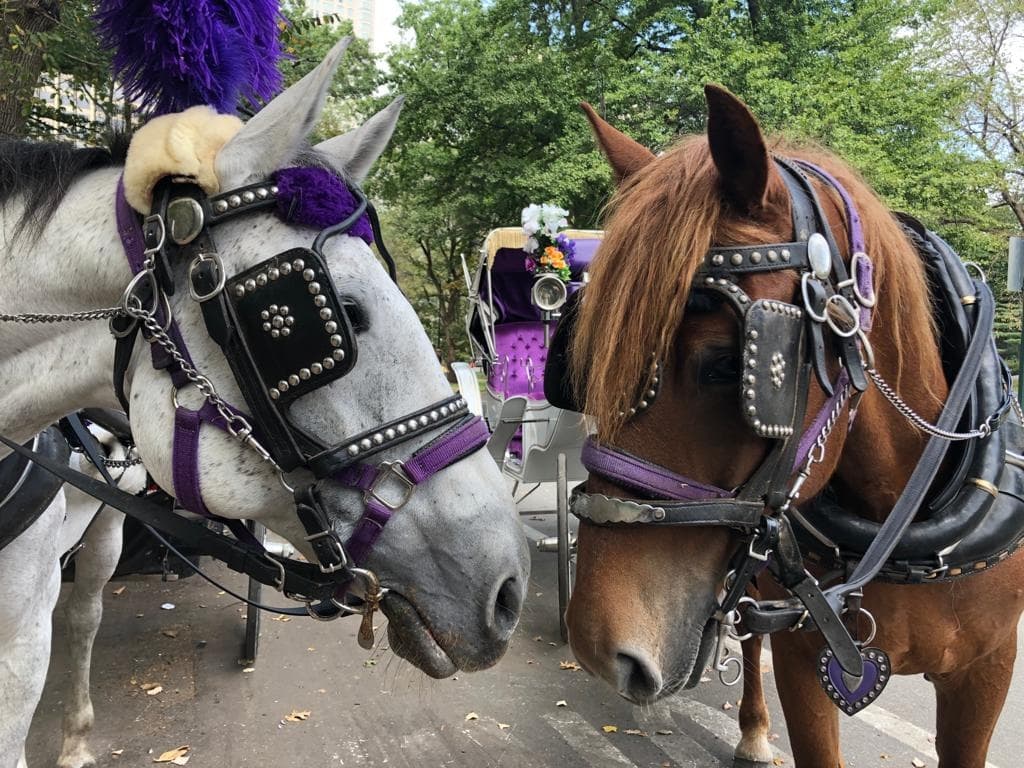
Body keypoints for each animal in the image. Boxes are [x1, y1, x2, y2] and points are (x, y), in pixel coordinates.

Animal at [553, 87, 1024, 768]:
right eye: (583, 364)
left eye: (729, 364)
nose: (595, 646)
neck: (902, 530)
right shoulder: (804, 659)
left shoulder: (987, 670)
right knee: (751, 641)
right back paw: (752, 731)